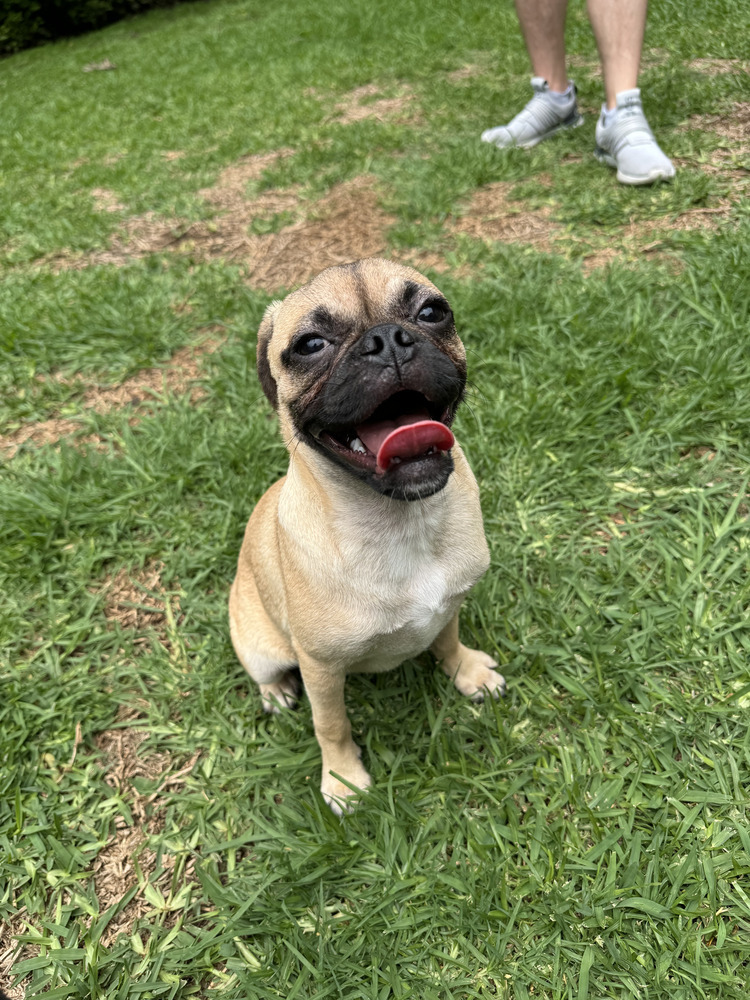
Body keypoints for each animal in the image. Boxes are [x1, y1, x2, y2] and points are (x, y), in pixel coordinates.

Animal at [231, 258, 506, 812]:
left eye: (432, 312)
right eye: (311, 344)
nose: (387, 340)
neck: (401, 519)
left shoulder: (451, 605)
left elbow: (448, 641)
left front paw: (466, 673)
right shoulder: (320, 668)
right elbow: (331, 724)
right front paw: (343, 778)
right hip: (261, 646)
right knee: (267, 674)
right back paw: (276, 693)